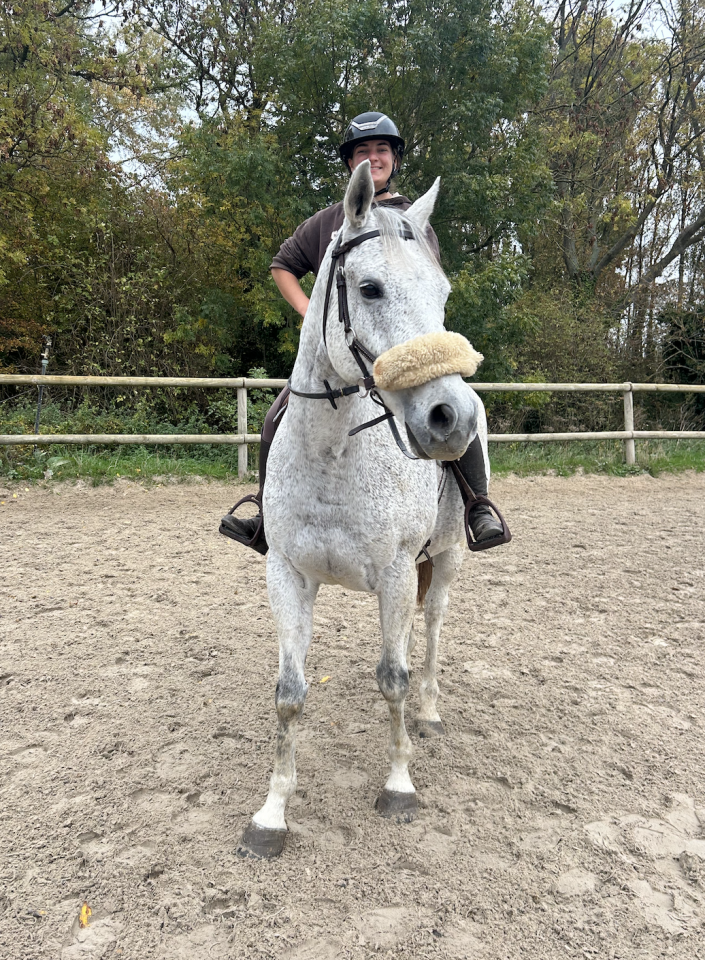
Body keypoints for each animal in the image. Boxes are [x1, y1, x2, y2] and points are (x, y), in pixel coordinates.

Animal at [237, 160, 487, 859]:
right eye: (369, 288)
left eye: (443, 294)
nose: (450, 419)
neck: (333, 455)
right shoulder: (288, 575)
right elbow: (289, 694)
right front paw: (272, 814)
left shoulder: (398, 572)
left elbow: (393, 677)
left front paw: (399, 785)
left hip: (447, 560)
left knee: (431, 630)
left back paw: (429, 713)